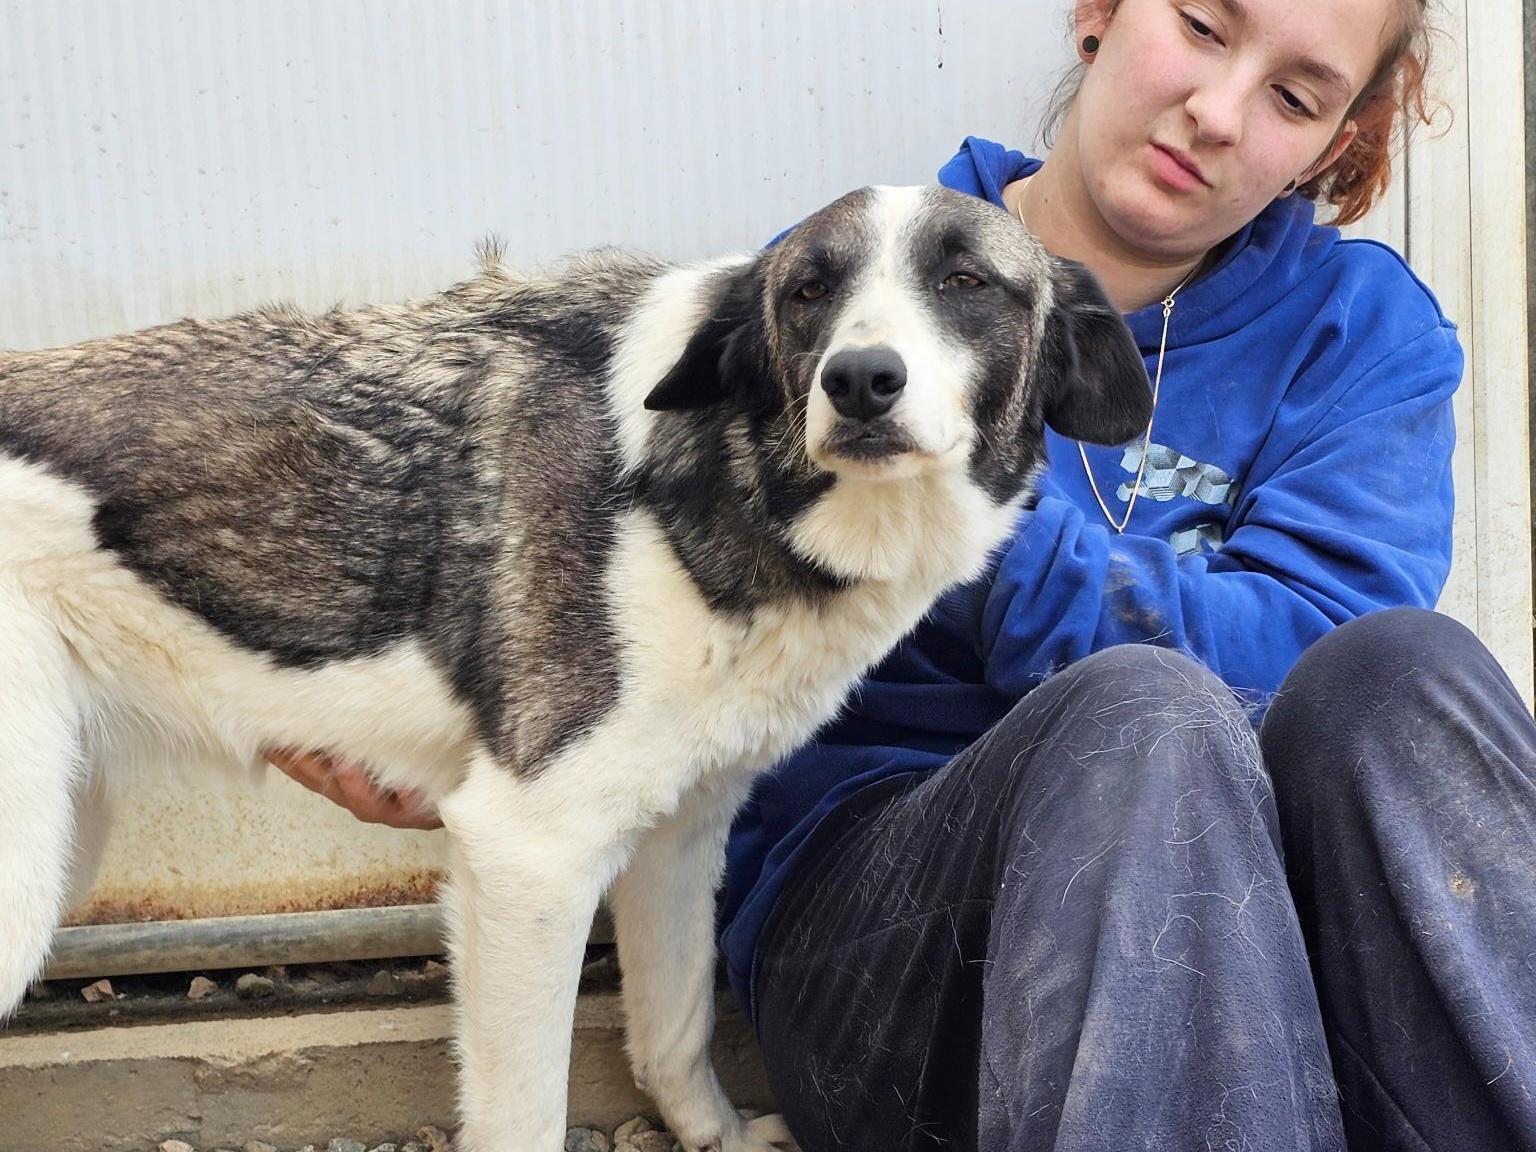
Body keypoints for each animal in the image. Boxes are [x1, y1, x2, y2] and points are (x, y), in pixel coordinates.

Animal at [0, 184, 1149, 1151]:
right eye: (809, 290)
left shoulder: (679, 835)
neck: (719, 474)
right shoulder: (528, 856)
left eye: (967, 283)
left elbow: (675, 1025)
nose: (861, 381)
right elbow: (523, 1116)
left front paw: (717, 1139)